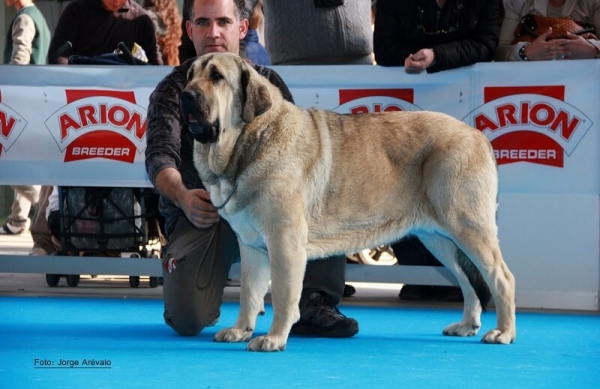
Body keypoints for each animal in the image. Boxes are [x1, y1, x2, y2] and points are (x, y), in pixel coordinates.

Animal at [182, 52, 516, 352]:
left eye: (216, 76)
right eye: (190, 75)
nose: (185, 95)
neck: (251, 140)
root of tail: (477, 135)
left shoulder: (284, 242)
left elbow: (282, 294)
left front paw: (274, 338)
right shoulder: (252, 246)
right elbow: (249, 293)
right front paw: (241, 330)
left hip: (468, 228)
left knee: (501, 278)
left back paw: (503, 332)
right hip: (440, 239)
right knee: (467, 281)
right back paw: (467, 324)